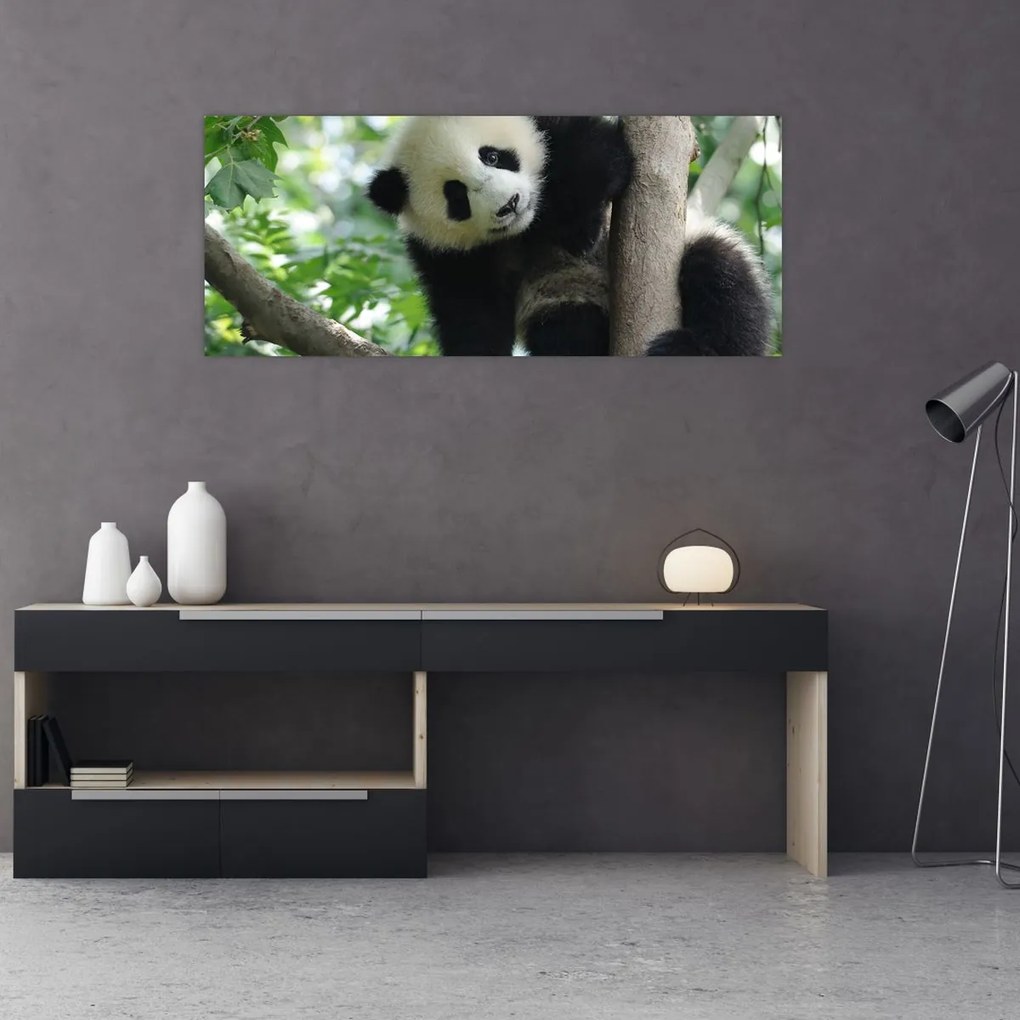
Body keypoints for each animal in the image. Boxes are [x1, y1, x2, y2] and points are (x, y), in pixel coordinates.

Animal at [367, 115, 772, 356]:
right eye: (456, 196)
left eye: (492, 156)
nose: (510, 204)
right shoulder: (446, 255)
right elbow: (470, 313)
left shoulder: (553, 130)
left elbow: (601, 156)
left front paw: (580, 229)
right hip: (565, 296)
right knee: (567, 331)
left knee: (722, 281)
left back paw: (689, 348)